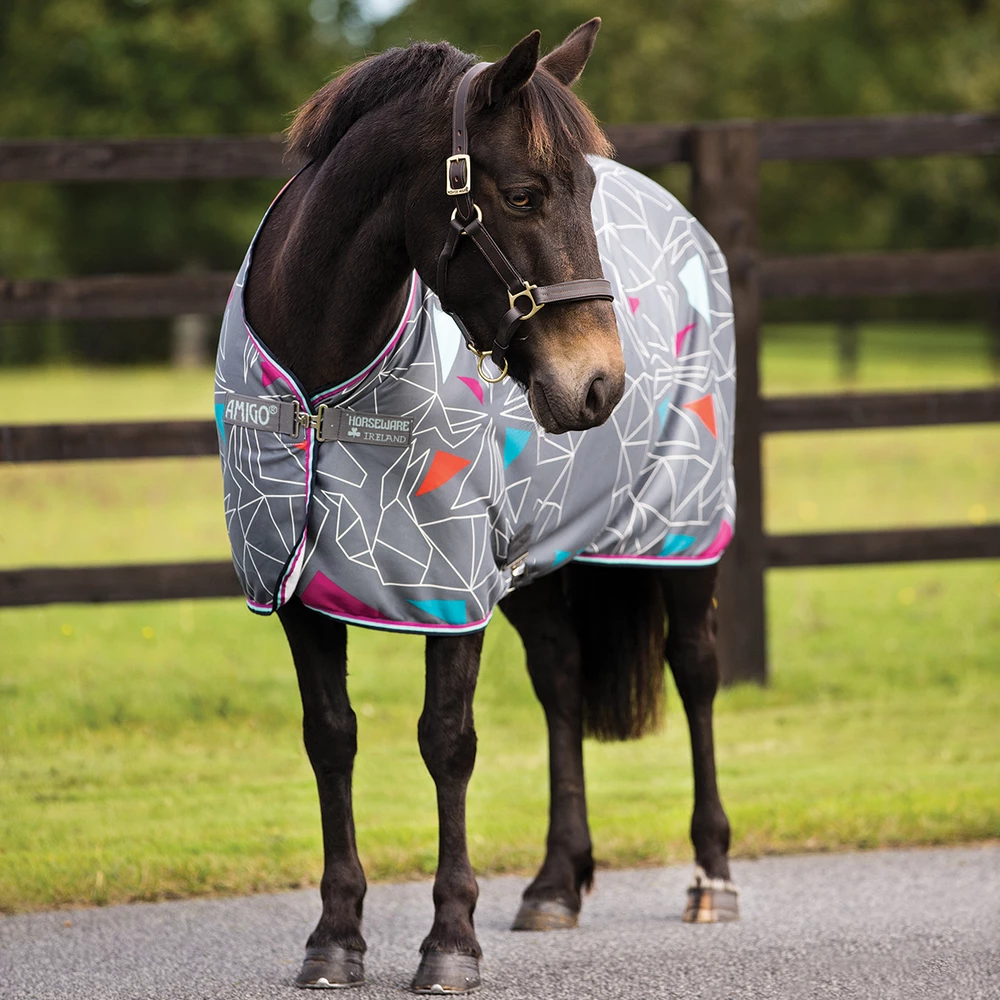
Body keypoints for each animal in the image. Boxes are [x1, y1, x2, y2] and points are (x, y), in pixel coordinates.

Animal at [214, 19, 737, 993]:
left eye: (586, 192)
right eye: (525, 195)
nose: (598, 384)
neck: (326, 387)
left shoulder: (450, 588)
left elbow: (447, 742)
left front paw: (450, 941)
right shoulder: (298, 587)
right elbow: (330, 737)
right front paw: (334, 937)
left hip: (685, 532)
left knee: (696, 671)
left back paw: (713, 877)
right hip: (533, 553)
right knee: (562, 679)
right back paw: (555, 884)